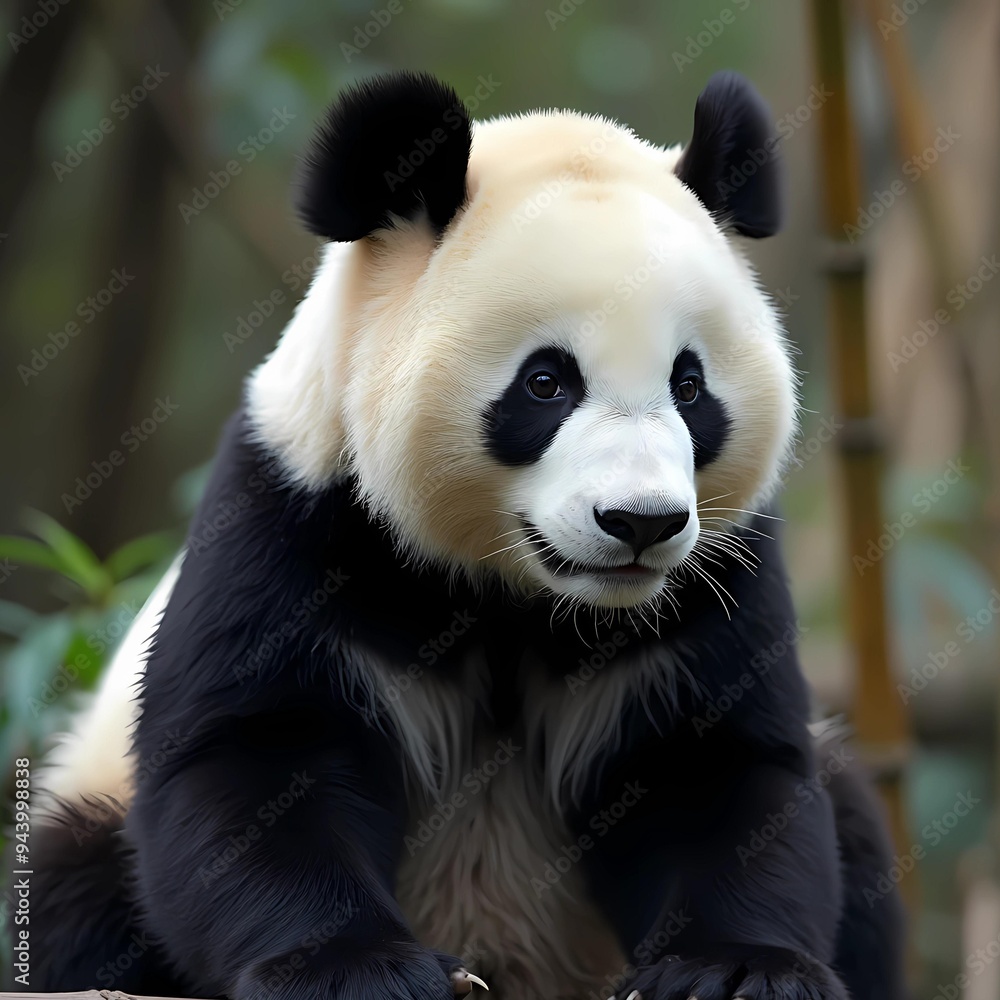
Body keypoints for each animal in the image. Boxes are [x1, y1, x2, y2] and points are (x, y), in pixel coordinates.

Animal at [12, 71, 906, 1000]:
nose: (641, 523)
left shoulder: (715, 577)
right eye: (546, 382)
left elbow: (719, 775)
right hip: (92, 803)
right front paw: (355, 969)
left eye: (690, 387)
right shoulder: (295, 519)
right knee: (75, 885)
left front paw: (735, 968)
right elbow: (257, 759)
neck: (524, 595)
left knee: (852, 817)